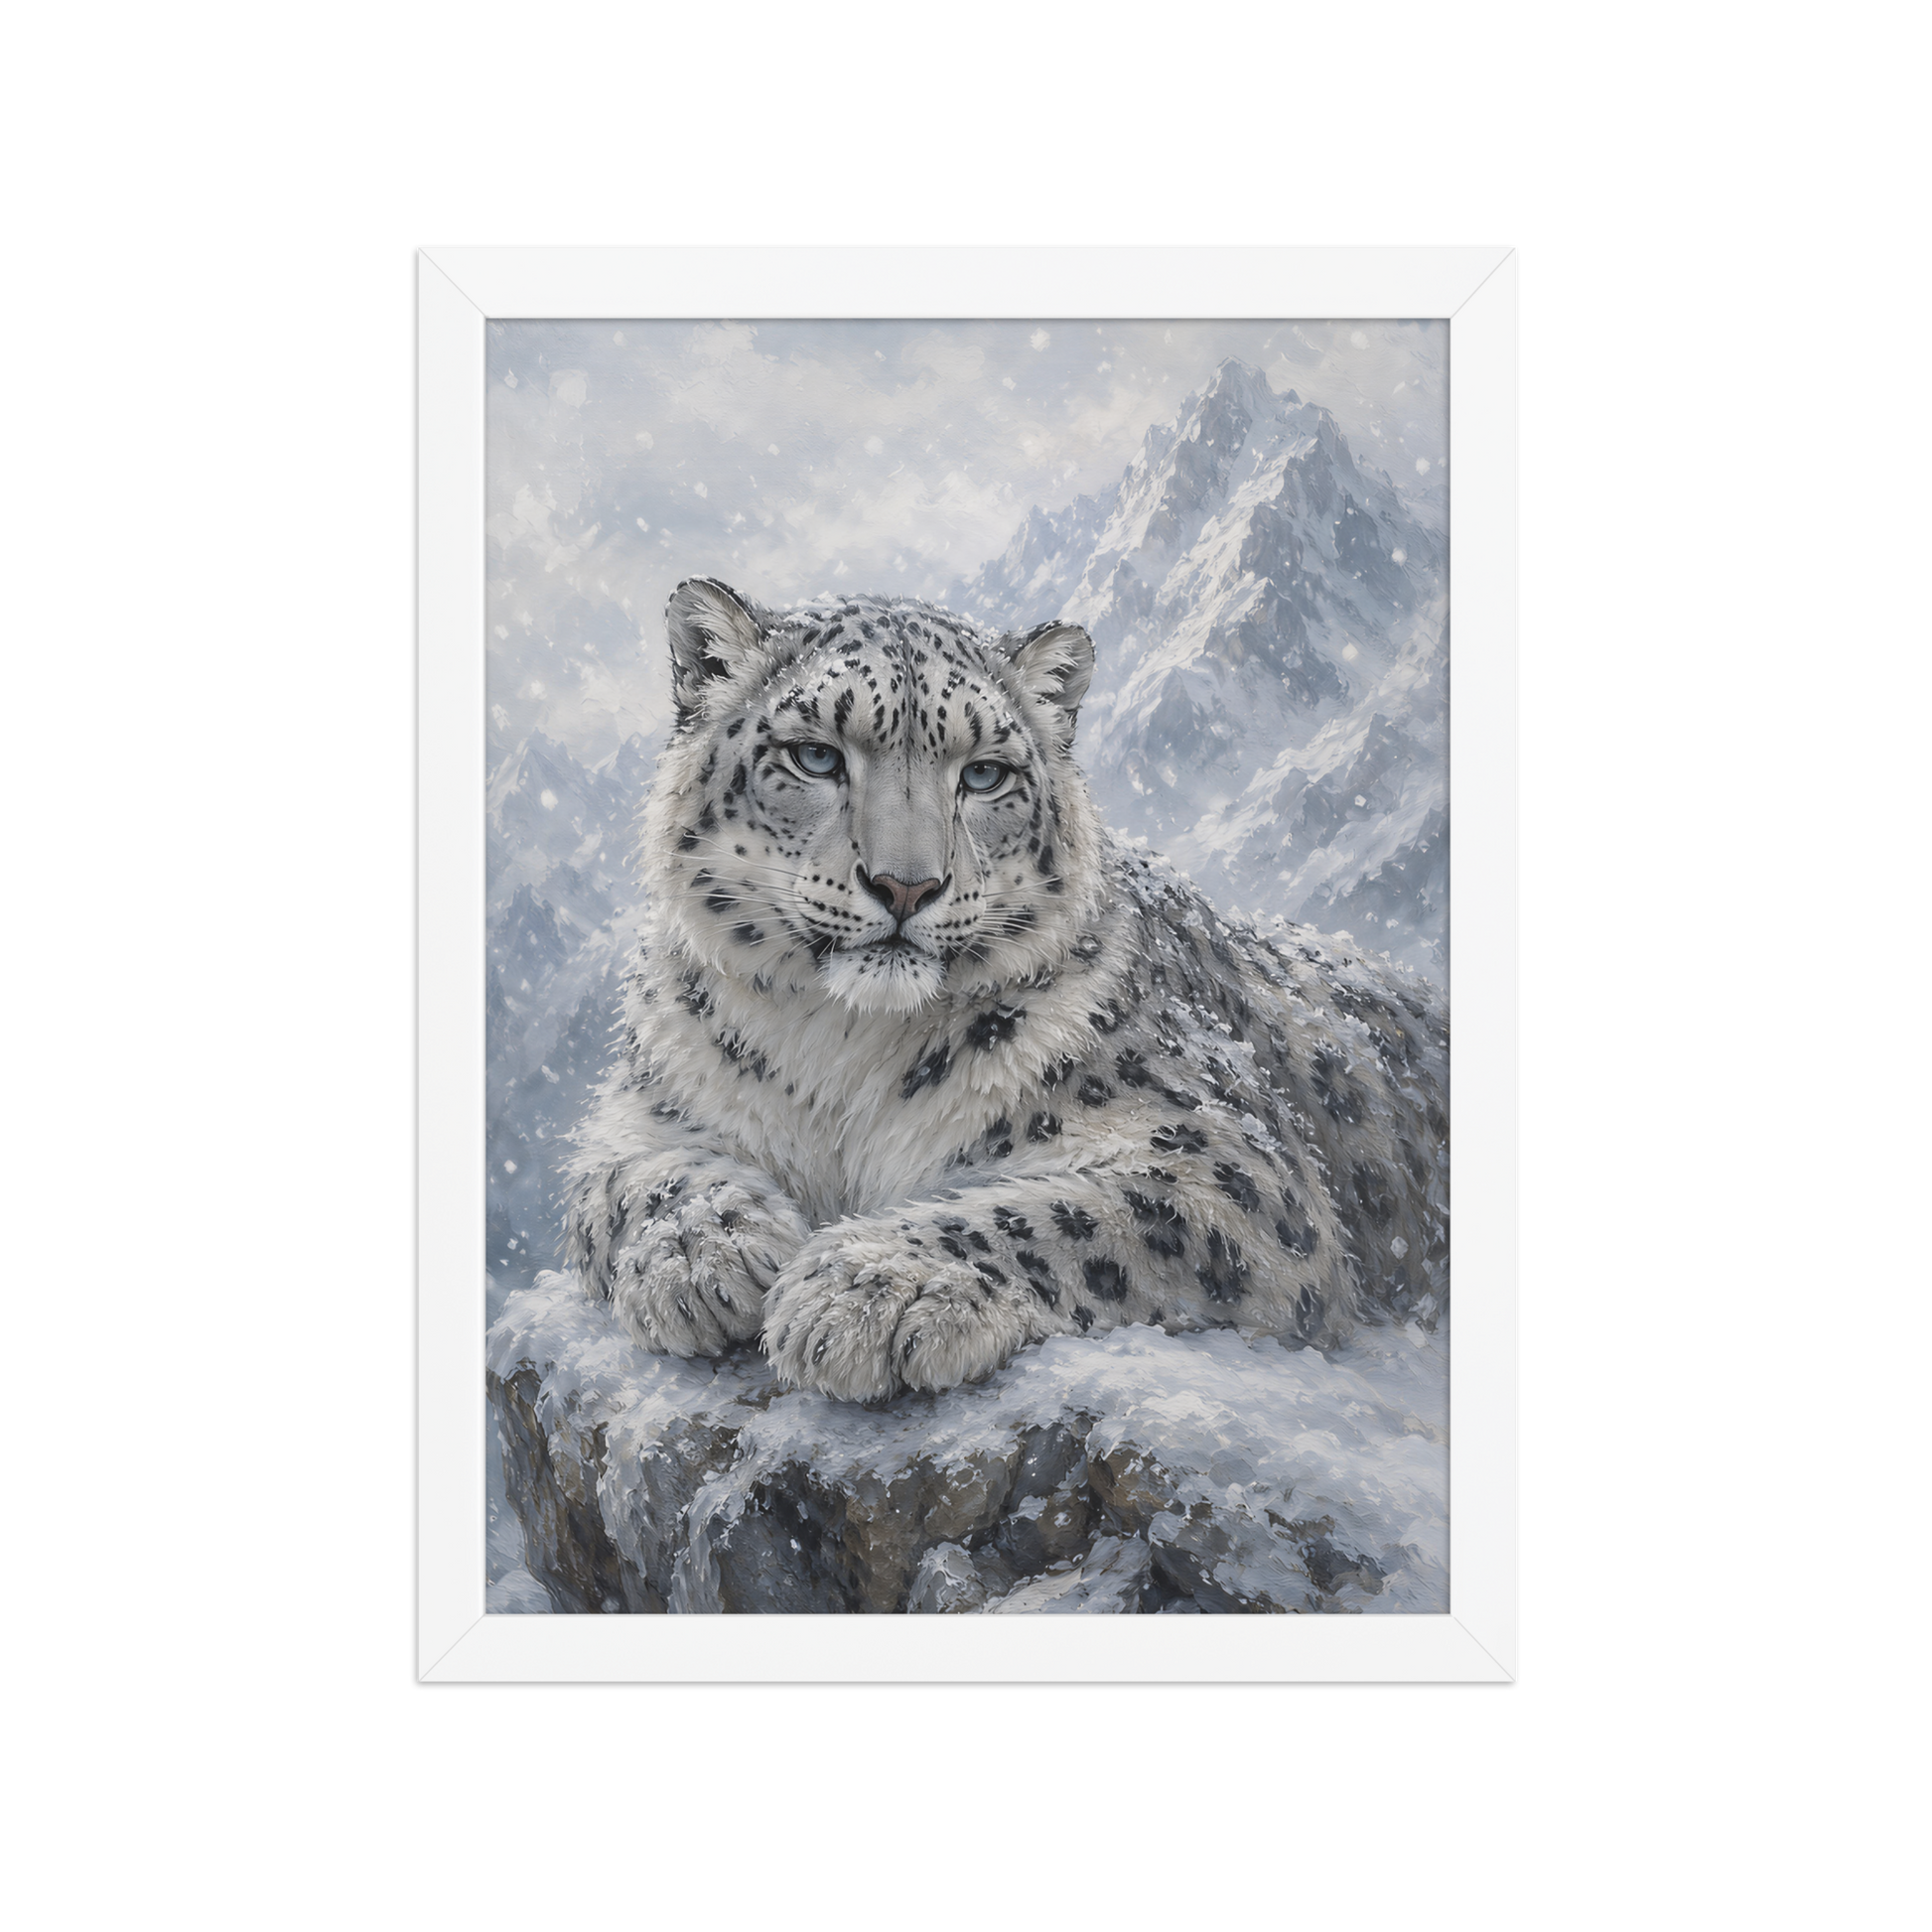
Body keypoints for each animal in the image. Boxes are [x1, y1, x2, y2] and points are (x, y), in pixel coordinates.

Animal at [560, 576, 1448, 1402]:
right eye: (815, 755)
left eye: (984, 774)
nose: (907, 885)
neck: (838, 1052)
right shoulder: (646, 1108)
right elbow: (633, 1178)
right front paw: (702, 1255)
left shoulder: (1227, 1165)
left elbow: (1059, 1213)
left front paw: (868, 1288)